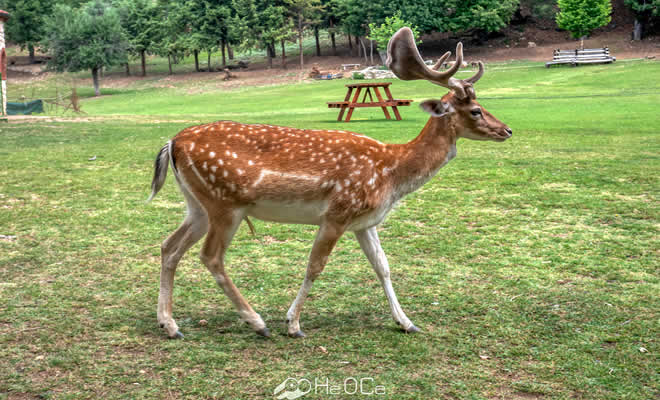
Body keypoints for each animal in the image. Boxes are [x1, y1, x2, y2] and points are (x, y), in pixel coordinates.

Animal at [148, 28, 510, 340]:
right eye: (476, 111)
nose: (507, 130)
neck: (391, 173)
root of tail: (172, 143)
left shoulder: (365, 222)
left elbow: (383, 267)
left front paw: (406, 322)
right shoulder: (337, 213)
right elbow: (315, 266)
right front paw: (293, 324)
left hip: (197, 204)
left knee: (169, 246)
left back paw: (169, 324)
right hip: (224, 203)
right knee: (210, 256)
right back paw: (257, 322)